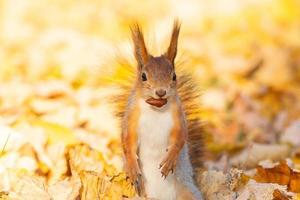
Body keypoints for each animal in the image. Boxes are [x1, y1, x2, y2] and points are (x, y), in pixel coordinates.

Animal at [120, 21, 204, 199]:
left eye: (174, 76)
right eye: (143, 76)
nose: (160, 92)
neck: (156, 110)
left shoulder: (178, 117)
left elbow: (180, 138)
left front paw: (169, 161)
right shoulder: (131, 118)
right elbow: (127, 141)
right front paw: (132, 168)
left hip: (187, 192)